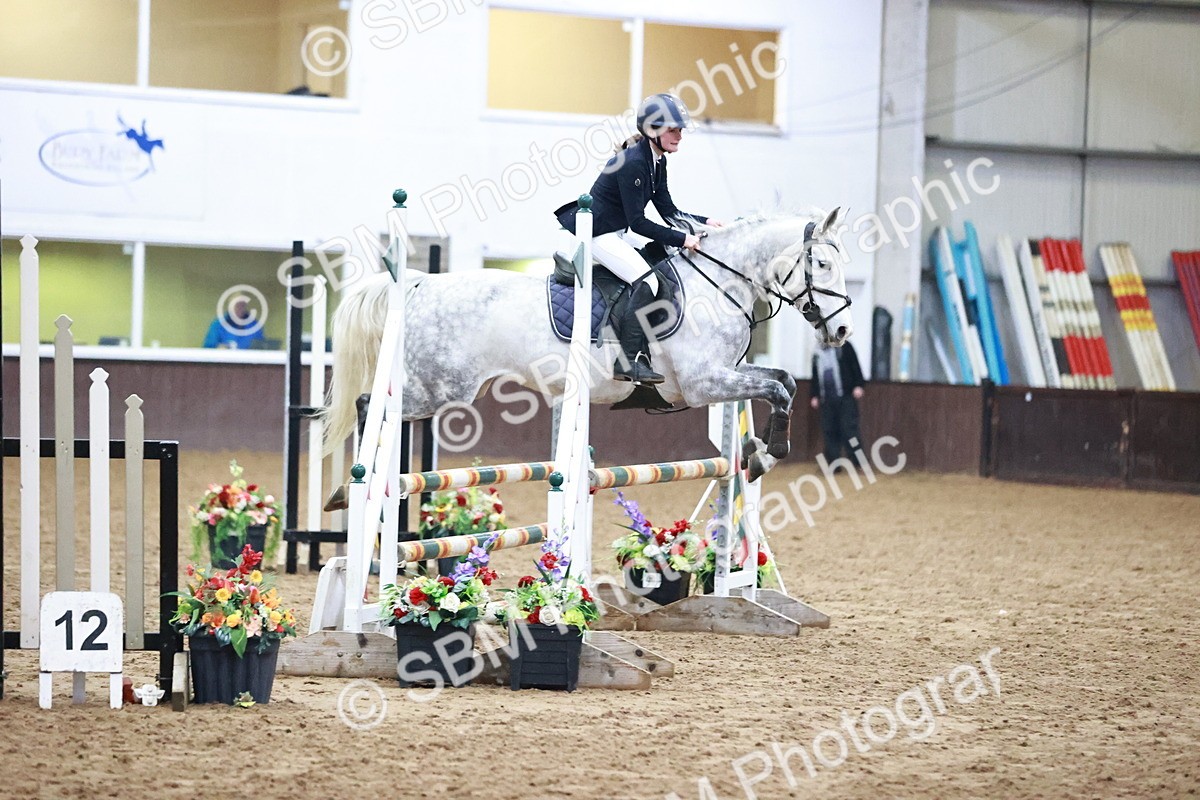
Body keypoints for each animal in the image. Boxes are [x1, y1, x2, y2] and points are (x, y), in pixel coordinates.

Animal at [323, 206, 853, 481]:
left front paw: (760, 451)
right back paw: (355, 482)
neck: (717, 282)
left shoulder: (726, 375)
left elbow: (783, 382)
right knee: (370, 403)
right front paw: (771, 451)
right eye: (823, 264)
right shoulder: (704, 384)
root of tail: (420, 283)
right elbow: (779, 388)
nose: (843, 332)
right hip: (441, 387)